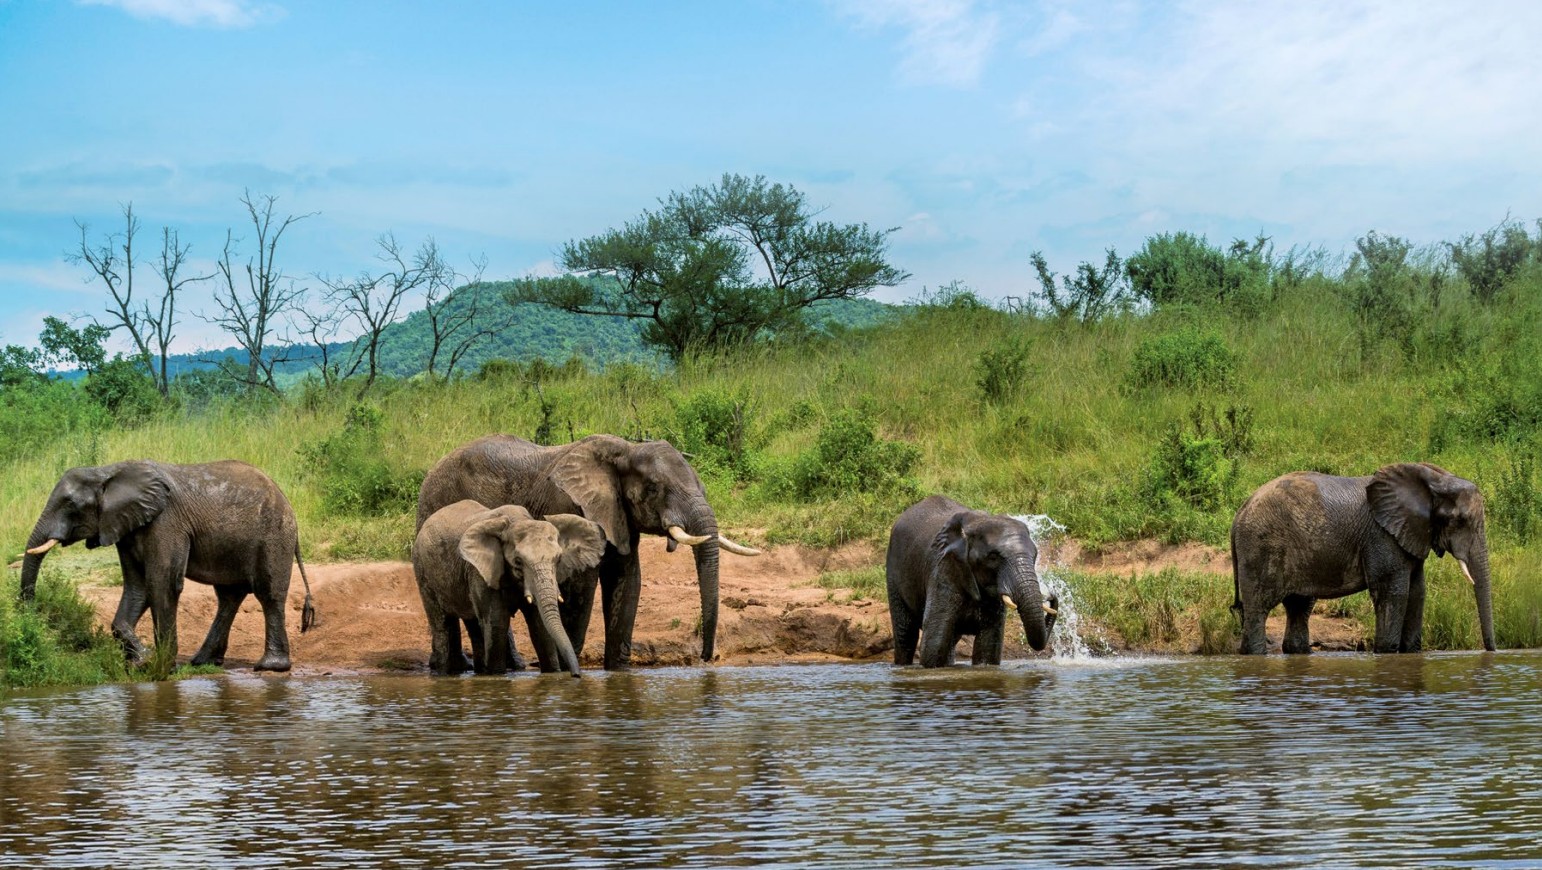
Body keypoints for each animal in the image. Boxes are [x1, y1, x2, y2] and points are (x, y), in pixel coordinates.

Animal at [18, 459, 316, 672]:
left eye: (70, 504)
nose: (32, 616)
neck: (107, 471)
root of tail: (286, 501)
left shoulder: (166, 522)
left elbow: (162, 583)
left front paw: (161, 665)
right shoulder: (126, 527)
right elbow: (137, 588)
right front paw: (143, 661)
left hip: (274, 534)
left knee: (269, 594)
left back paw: (270, 667)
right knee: (229, 596)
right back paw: (203, 662)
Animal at [413, 501, 606, 676]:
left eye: (558, 560)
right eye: (518, 562)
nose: (576, 675)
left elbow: (539, 626)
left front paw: (553, 673)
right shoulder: (482, 571)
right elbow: (496, 622)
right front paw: (497, 675)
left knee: (474, 624)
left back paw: (478, 672)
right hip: (423, 571)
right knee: (442, 624)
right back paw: (444, 674)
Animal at [886, 495, 1059, 667]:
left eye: (1035, 555)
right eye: (993, 557)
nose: (1051, 595)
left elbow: (988, 648)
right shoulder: (943, 569)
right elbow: (933, 646)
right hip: (893, 572)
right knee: (906, 634)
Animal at [1231, 462, 1494, 655]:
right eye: (1460, 521)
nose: (1490, 651)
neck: (1433, 478)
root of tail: (1240, 512)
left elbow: (1418, 592)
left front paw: (1410, 652)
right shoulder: (1381, 536)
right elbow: (1393, 592)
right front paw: (1386, 652)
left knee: (1299, 606)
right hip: (1261, 547)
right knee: (1259, 607)